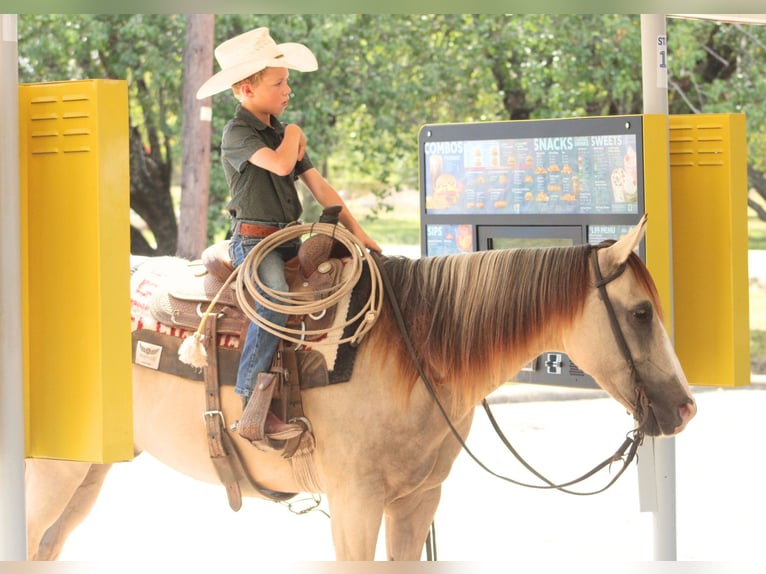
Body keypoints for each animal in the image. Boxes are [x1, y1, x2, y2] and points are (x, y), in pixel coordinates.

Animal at [25, 215, 696, 560]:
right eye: (641, 313)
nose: (686, 408)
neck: (413, 353)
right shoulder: (355, 505)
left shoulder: (416, 502)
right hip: (49, 473)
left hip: (88, 474)